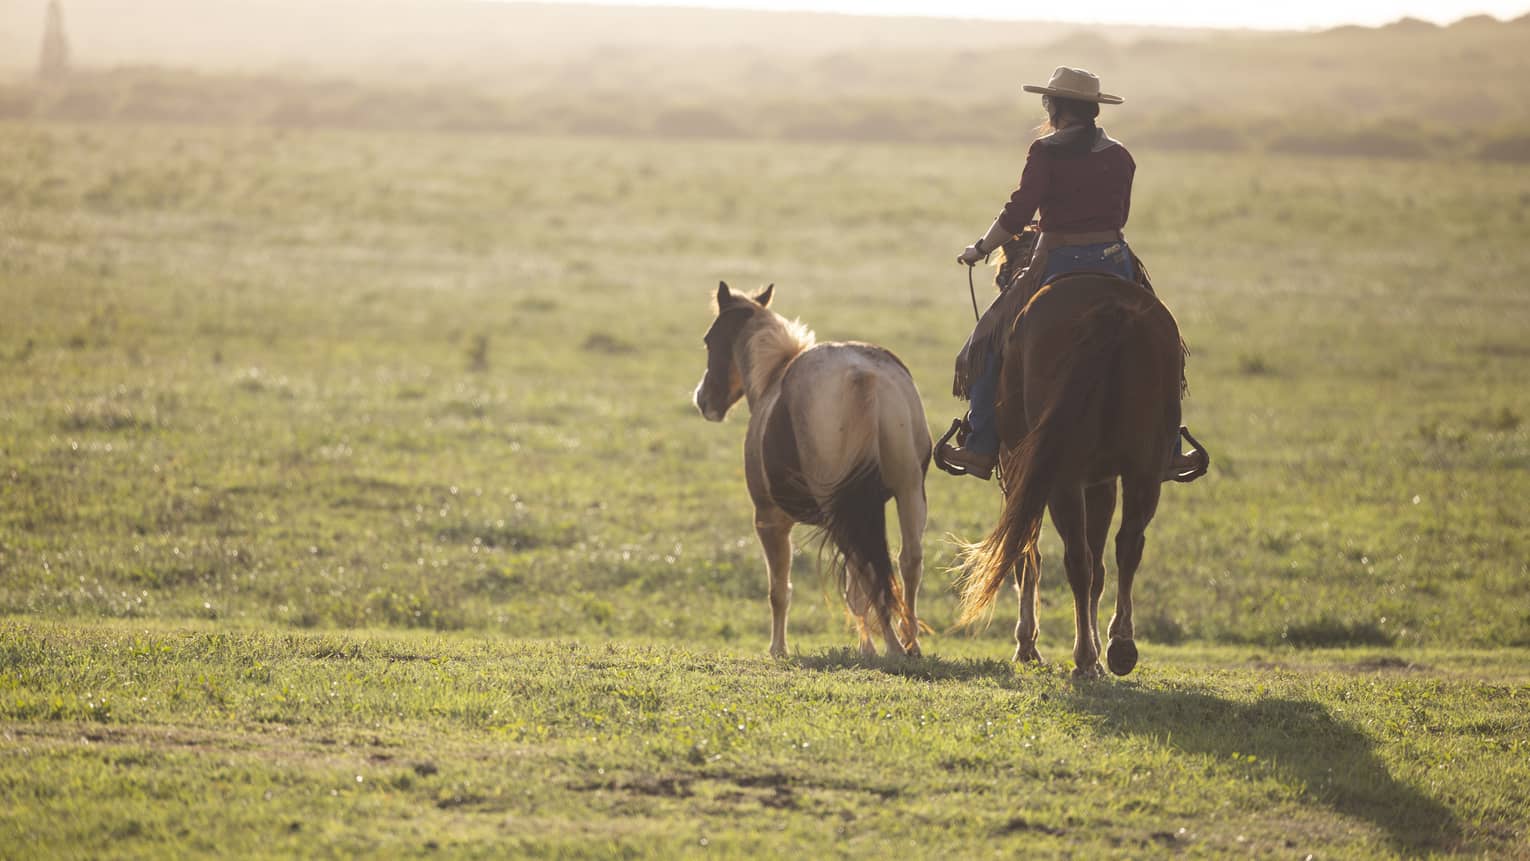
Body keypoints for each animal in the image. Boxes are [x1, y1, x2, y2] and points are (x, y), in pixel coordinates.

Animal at [693, 281, 932, 658]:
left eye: (709, 340)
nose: (704, 400)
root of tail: (861, 375)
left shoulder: (769, 519)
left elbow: (779, 590)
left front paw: (778, 649)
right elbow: (854, 590)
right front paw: (866, 648)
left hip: (844, 509)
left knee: (871, 570)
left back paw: (894, 647)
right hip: (907, 492)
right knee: (907, 562)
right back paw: (909, 643)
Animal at [954, 261, 1187, 679]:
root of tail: (1110, 313)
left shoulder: (1020, 473)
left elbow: (1026, 555)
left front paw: (1027, 645)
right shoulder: (1101, 481)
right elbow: (1098, 566)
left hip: (1060, 477)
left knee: (1076, 559)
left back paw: (1085, 660)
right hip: (1143, 470)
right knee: (1126, 546)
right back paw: (1119, 646)